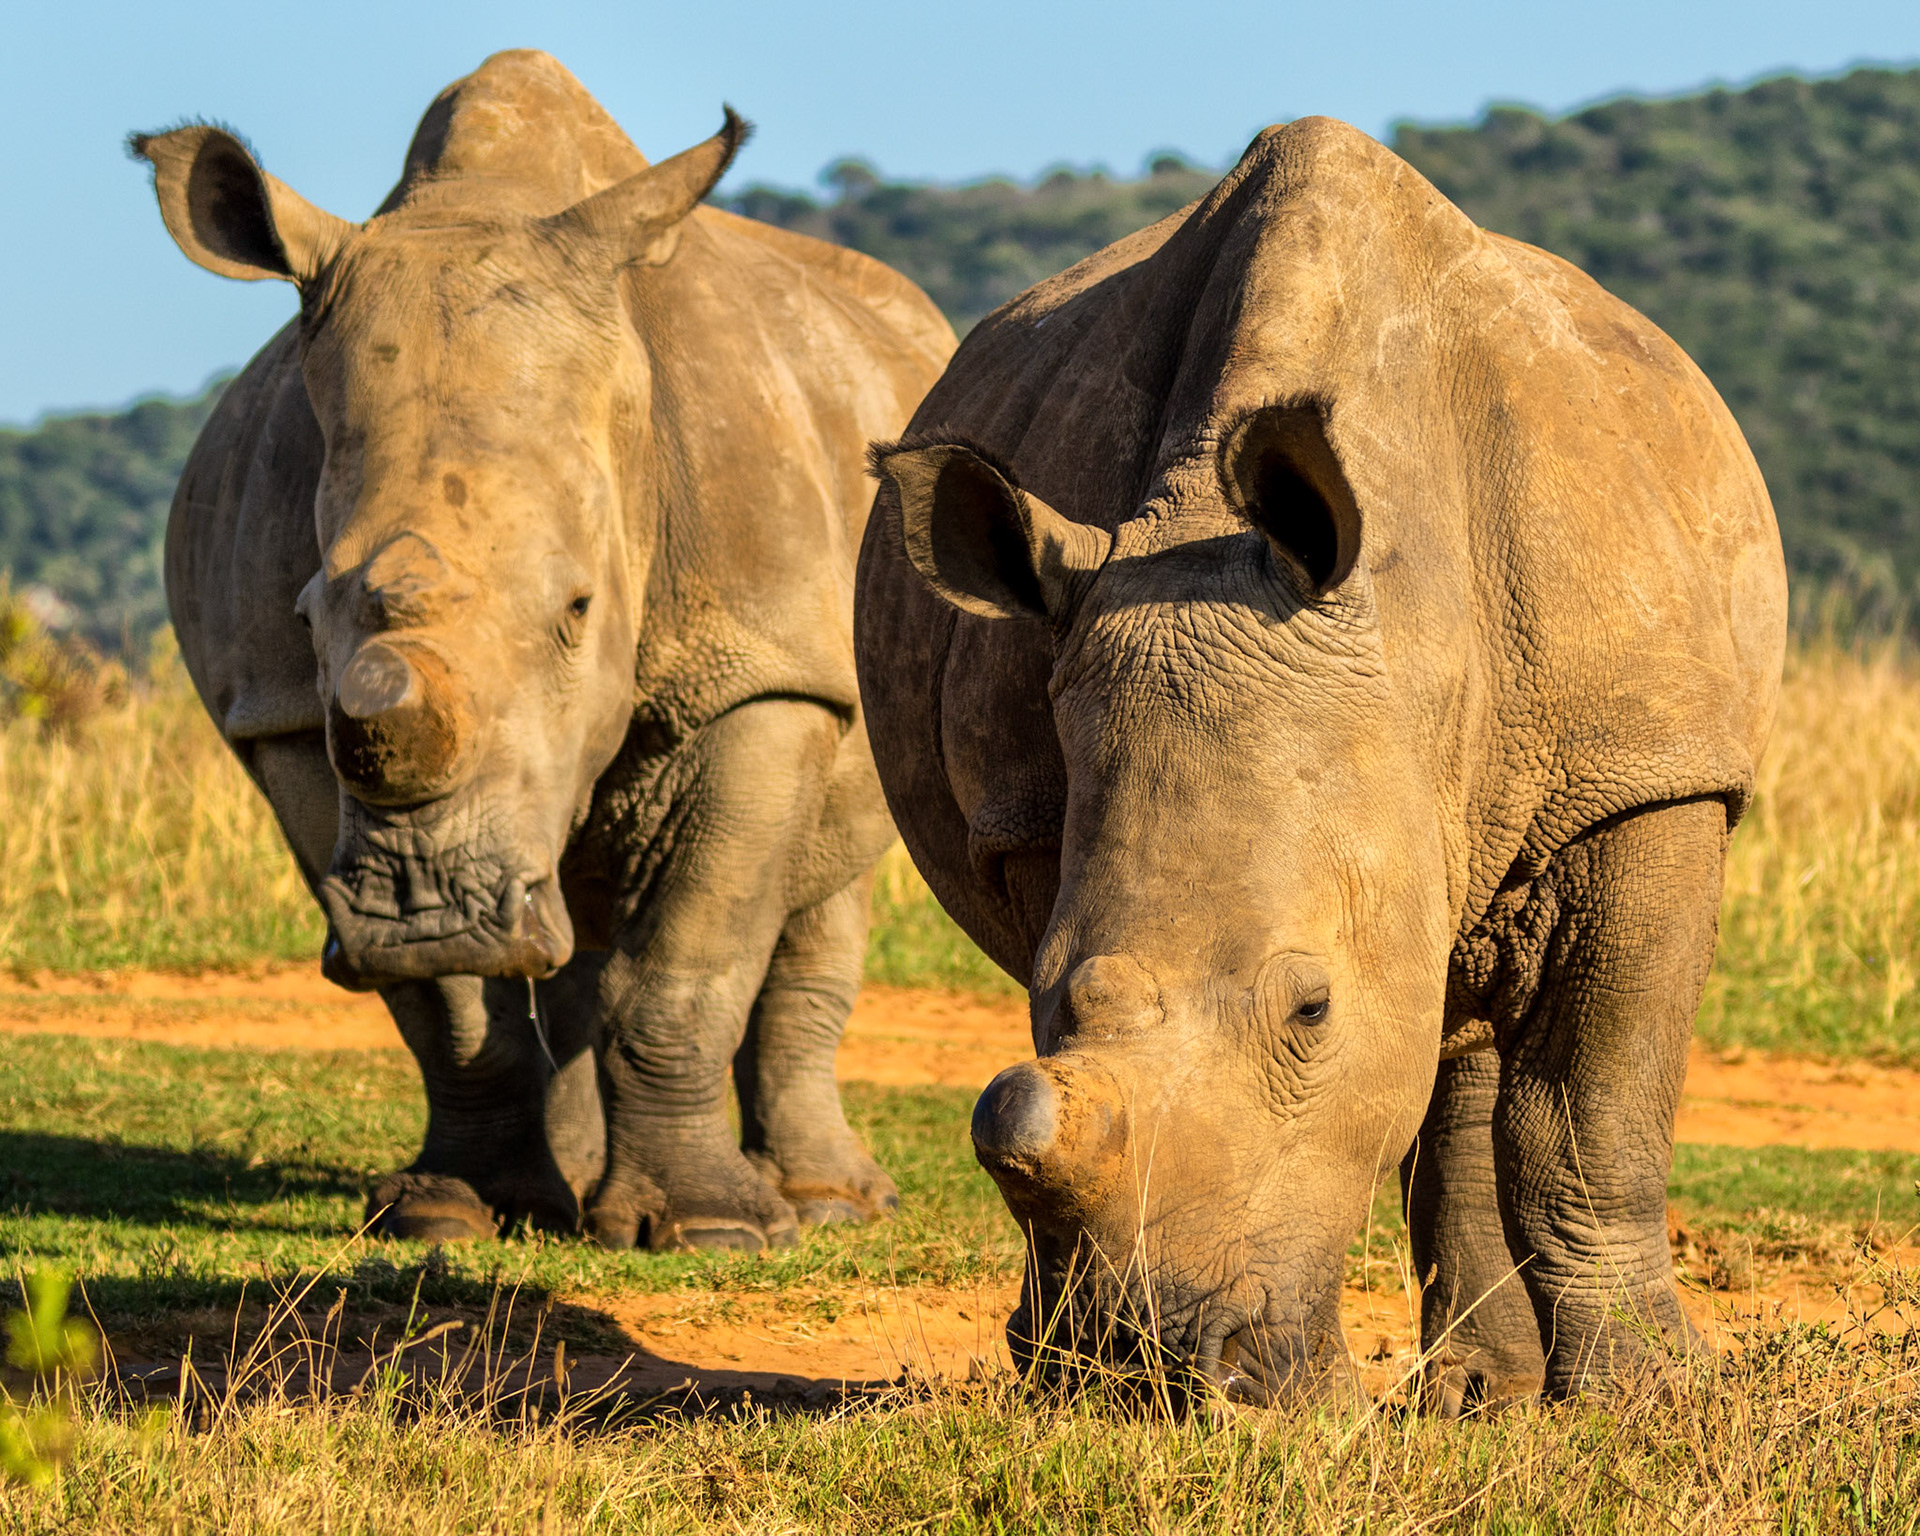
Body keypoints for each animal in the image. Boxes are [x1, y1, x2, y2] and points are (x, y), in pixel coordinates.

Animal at [134, 50, 955, 1249]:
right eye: (305, 616)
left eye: (577, 609)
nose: (424, 910)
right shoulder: (281, 711)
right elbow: (445, 1005)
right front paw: (446, 1214)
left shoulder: (763, 674)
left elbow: (693, 957)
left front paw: (713, 1233)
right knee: (565, 942)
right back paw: (564, 1200)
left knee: (816, 886)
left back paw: (828, 1206)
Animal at [858, 118, 1785, 1405]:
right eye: (1047, 992)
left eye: (1311, 1010)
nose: (1159, 1372)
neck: (1417, 652)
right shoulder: (1036, 803)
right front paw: (1059, 1378)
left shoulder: (1645, 771)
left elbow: (1590, 1112)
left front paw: (1655, 1403)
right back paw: (1477, 1402)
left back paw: (1492, 1403)